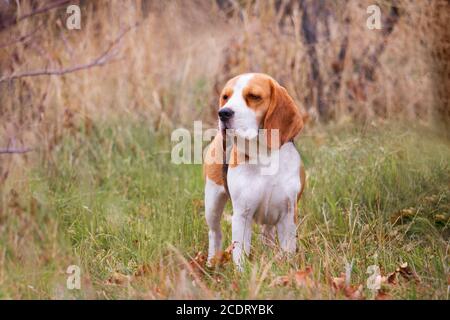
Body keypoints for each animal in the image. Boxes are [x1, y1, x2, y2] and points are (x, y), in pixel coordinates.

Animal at [204, 73, 306, 270]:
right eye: (225, 97)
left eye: (253, 96)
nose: (223, 113)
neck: (263, 156)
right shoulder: (242, 215)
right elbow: (240, 252)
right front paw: (241, 273)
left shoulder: (288, 215)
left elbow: (288, 250)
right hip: (212, 204)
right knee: (214, 233)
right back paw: (212, 262)